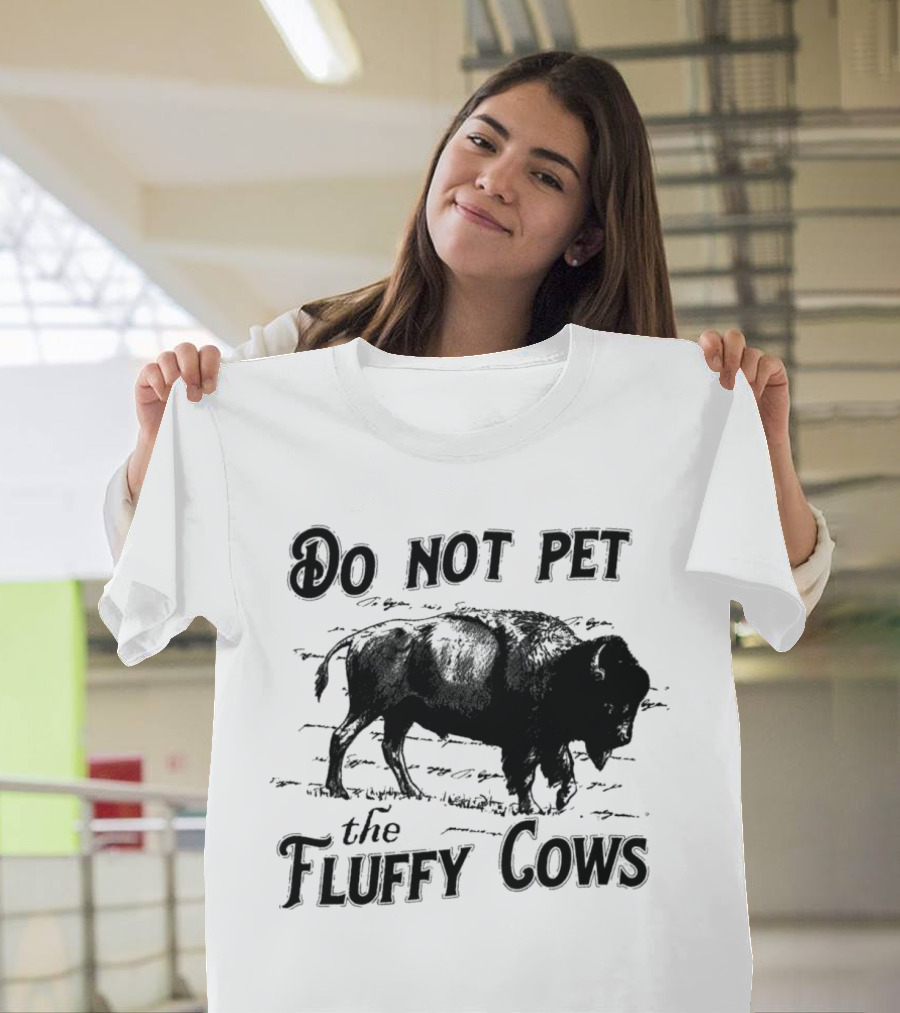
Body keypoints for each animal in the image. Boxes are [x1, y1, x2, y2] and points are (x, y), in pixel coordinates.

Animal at [313, 607, 650, 814]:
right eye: (608, 701)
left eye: (635, 702)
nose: (624, 738)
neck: (562, 667)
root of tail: (359, 638)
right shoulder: (526, 742)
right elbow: (526, 774)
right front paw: (533, 808)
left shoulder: (551, 739)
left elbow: (562, 767)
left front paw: (561, 800)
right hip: (368, 707)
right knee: (342, 737)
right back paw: (339, 791)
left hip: (398, 715)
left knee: (391, 749)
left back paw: (416, 792)